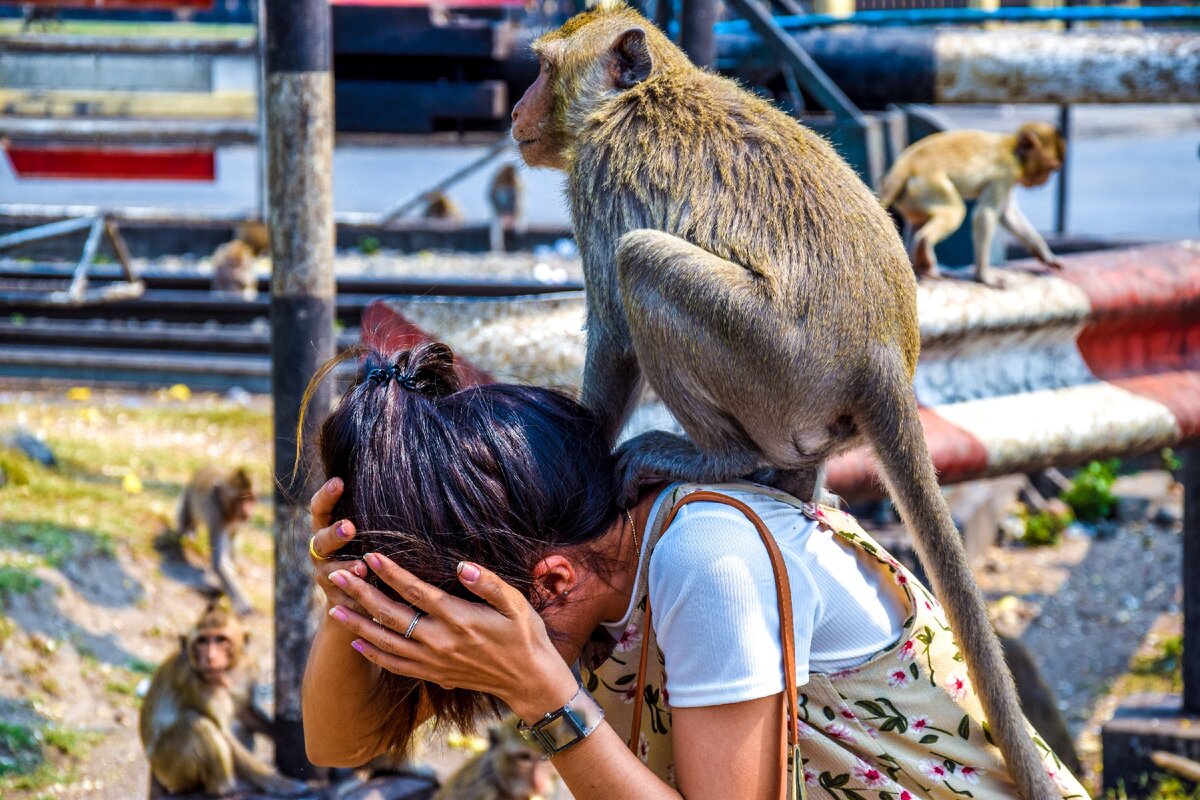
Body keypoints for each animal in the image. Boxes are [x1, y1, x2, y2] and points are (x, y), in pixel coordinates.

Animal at [137, 599, 309, 796]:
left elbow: (246, 713)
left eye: (220, 640)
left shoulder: (248, 670)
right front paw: (279, 783)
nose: (210, 657)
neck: (226, 674)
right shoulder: (194, 683)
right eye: (202, 641)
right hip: (169, 769)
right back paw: (225, 788)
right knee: (196, 723)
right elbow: (225, 733)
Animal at [164, 465, 258, 618]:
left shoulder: (237, 524)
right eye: (240, 500)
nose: (247, 512)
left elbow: (231, 549)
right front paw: (241, 603)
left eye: (250, 499)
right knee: (186, 519)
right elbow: (219, 562)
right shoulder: (216, 517)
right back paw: (185, 533)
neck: (227, 510)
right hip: (188, 496)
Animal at [878, 122, 1065, 287]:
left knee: (919, 220)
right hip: (928, 185)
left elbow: (1007, 214)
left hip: (911, 197)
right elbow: (986, 214)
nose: (1044, 182)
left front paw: (1045, 255)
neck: (1014, 151)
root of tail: (905, 164)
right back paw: (925, 246)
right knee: (955, 211)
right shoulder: (1005, 173)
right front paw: (984, 276)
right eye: (1051, 168)